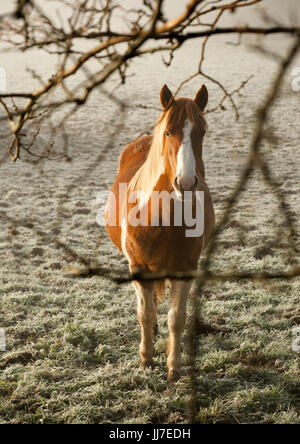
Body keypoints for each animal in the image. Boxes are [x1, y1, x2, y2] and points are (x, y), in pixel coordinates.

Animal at [105, 84, 216, 382]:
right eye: (168, 132)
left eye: (202, 132)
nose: (186, 183)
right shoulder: (139, 267)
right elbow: (145, 313)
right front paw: (146, 359)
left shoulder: (185, 269)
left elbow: (176, 318)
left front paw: (173, 368)